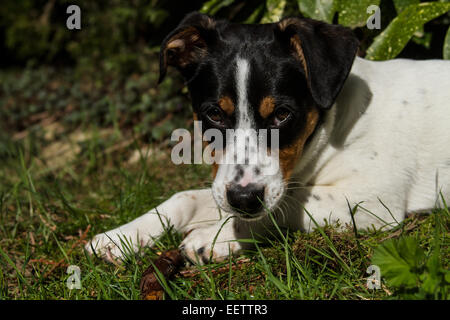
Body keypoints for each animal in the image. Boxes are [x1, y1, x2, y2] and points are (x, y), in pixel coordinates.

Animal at [86, 12, 450, 264]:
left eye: (282, 114)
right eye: (214, 114)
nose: (244, 200)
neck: (335, 126)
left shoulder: (374, 201)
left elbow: (289, 205)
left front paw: (214, 238)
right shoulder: (226, 186)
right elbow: (183, 197)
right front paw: (120, 237)